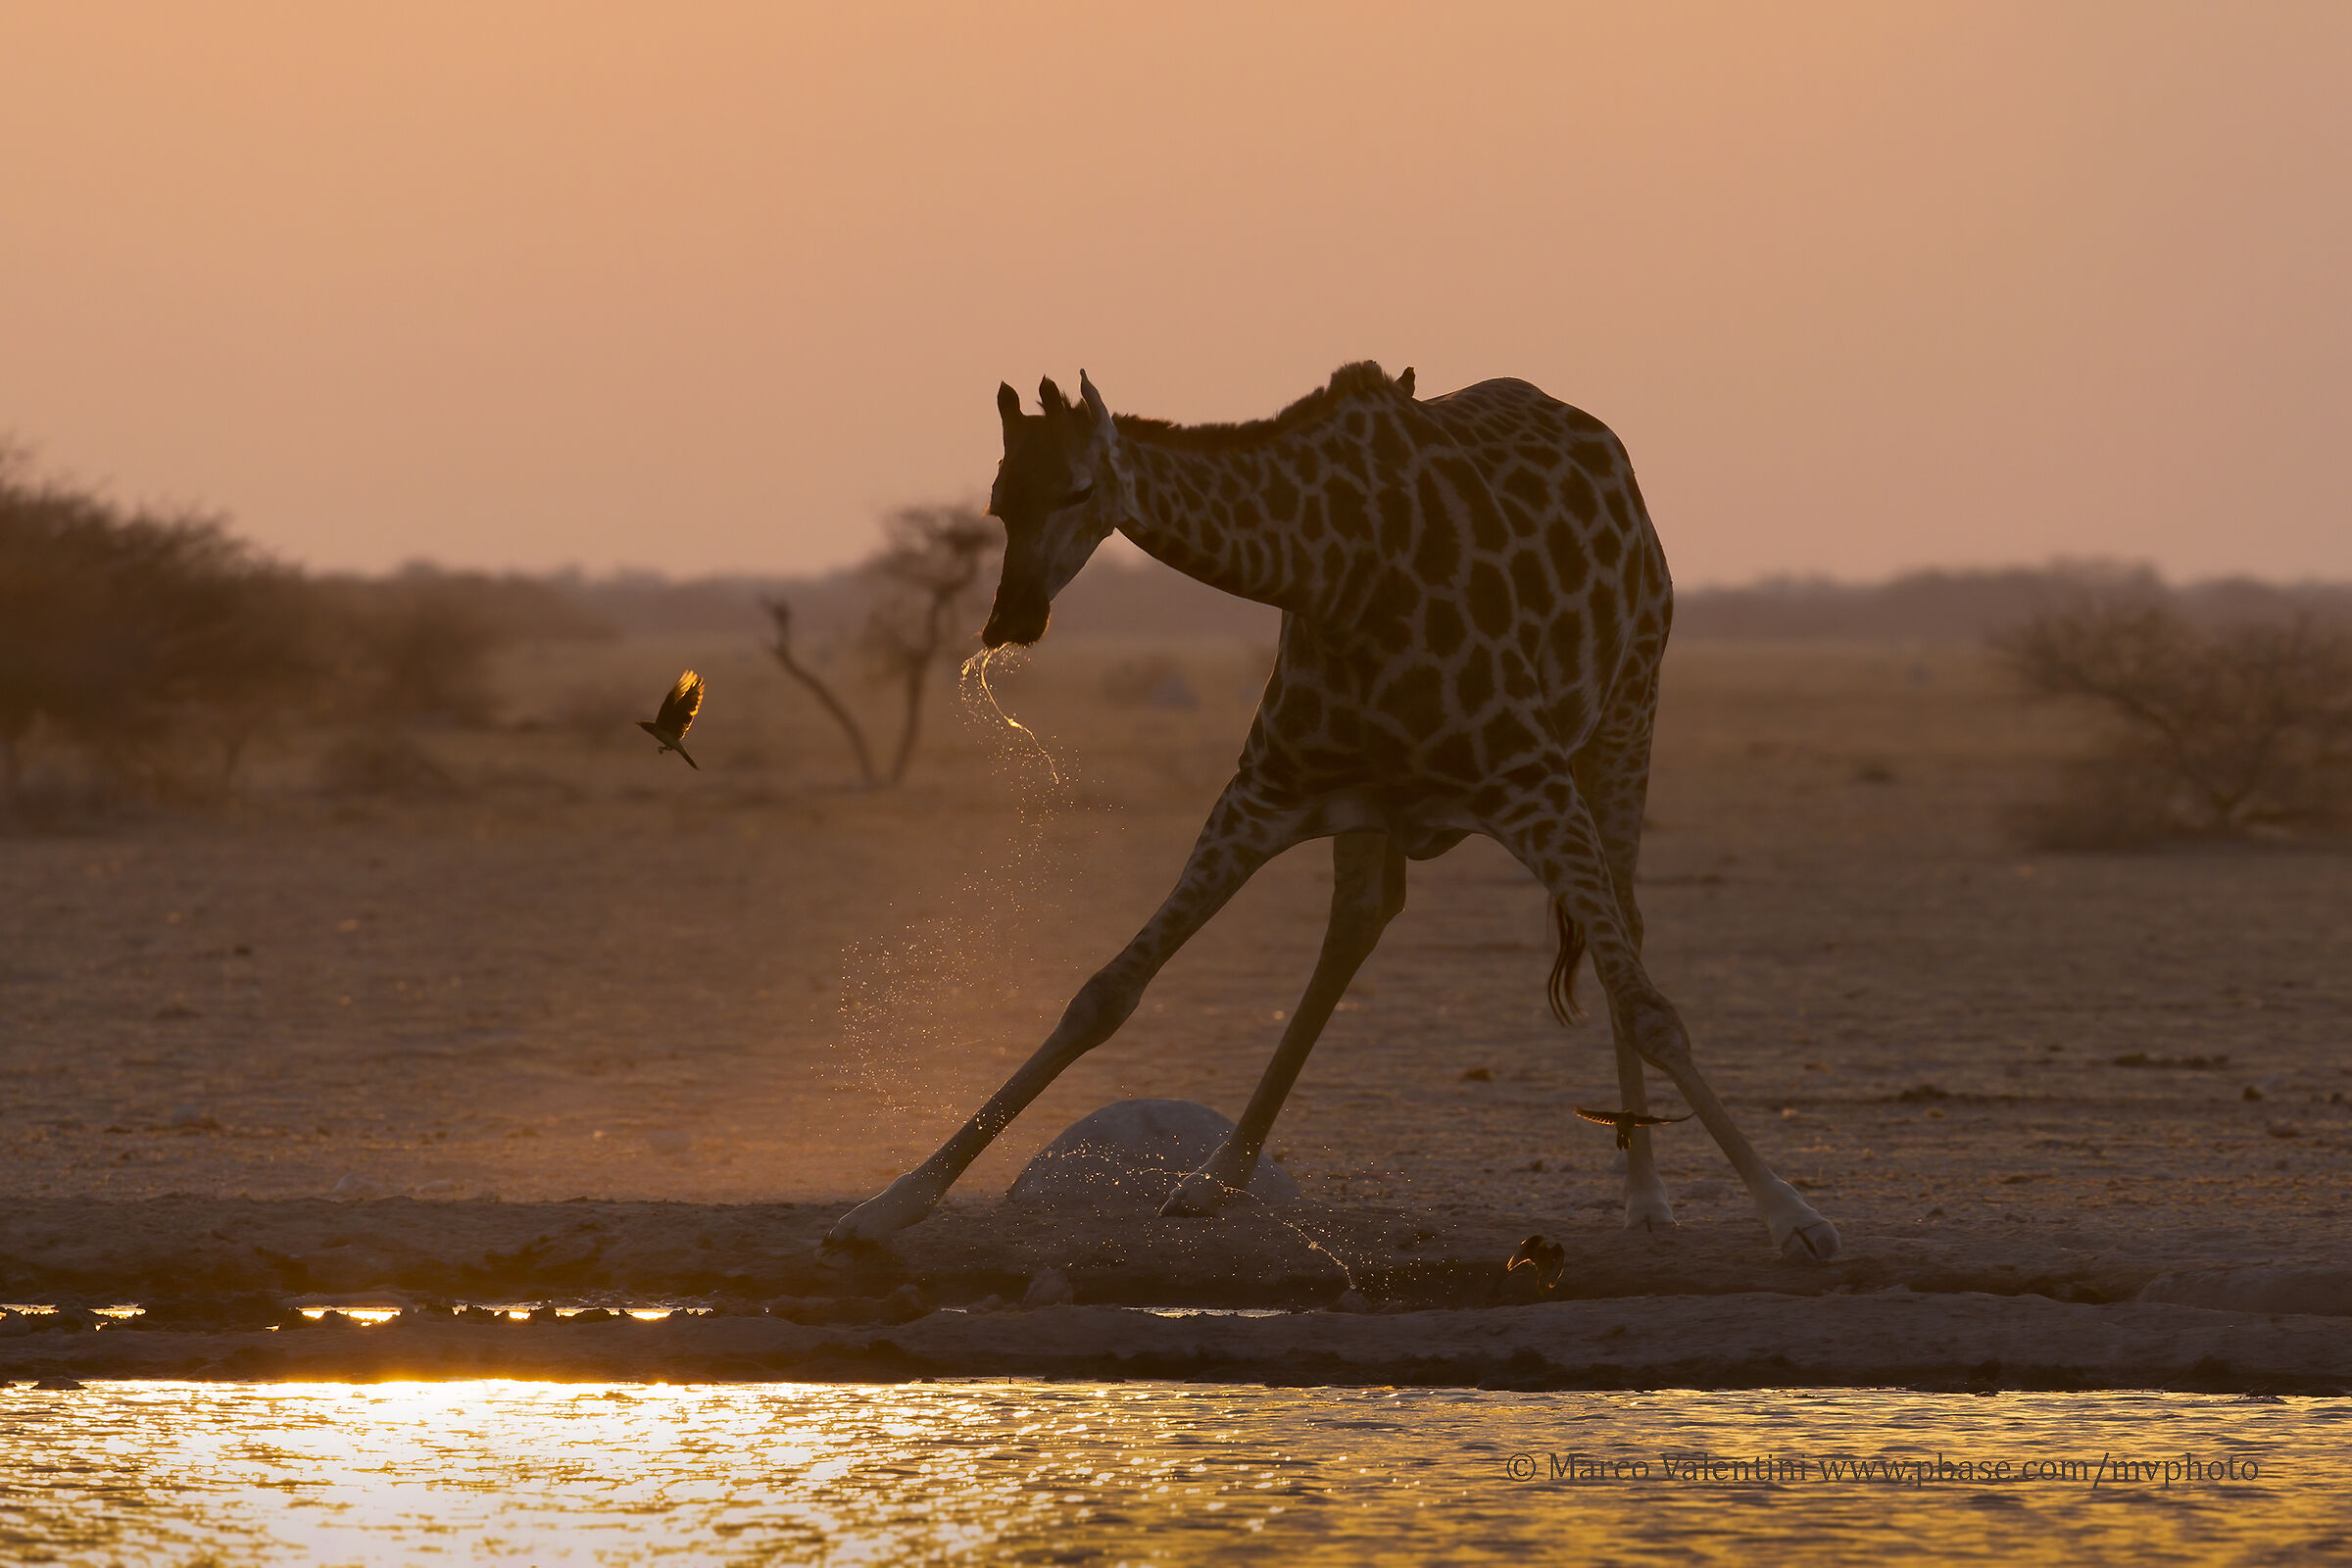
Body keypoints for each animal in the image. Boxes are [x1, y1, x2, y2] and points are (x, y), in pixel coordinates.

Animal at [825, 362, 1842, 1263]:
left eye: (1078, 489)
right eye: (999, 502)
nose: (1011, 620)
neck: (1335, 576)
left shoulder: (1532, 782)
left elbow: (1650, 1006)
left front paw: (1793, 1217)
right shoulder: (1267, 790)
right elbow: (1104, 992)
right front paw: (886, 1207)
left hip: (1627, 717)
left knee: (1621, 924)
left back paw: (1645, 1196)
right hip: (1382, 805)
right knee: (1359, 921)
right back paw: (1216, 1176)